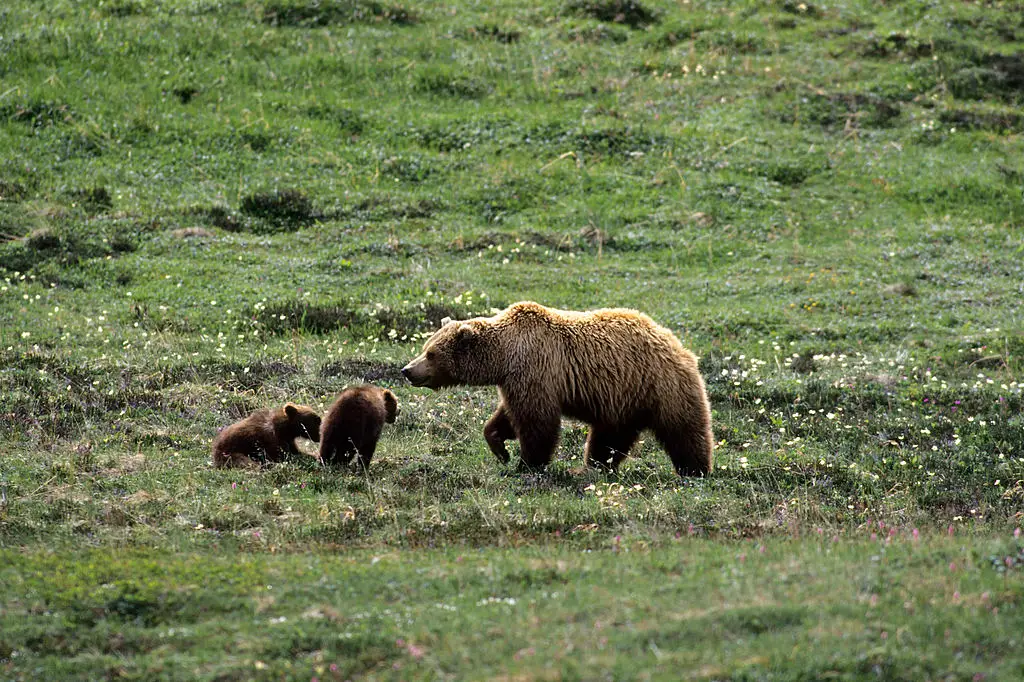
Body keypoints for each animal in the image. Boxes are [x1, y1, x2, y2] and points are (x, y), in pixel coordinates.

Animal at [401, 301, 713, 477]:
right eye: (425, 347)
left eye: (431, 354)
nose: (407, 370)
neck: (505, 356)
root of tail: (678, 344)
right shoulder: (516, 379)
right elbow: (507, 416)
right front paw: (500, 448)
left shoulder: (535, 368)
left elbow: (537, 422)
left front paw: (526, 464)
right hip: (622, 399)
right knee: (609, 437)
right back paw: (593, 467)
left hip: (660, 385)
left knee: (683, 428)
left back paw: (695, 469)